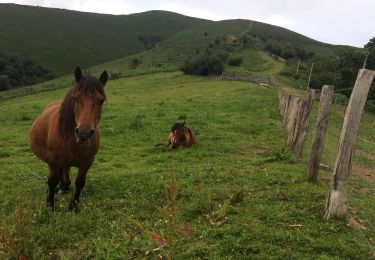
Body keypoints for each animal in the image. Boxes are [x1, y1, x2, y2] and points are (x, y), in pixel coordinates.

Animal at [28, 67, 108, 211]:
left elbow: (80, 182)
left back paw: (64, 186)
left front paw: (73, 206)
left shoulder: (88, 161)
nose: (83, 134)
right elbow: (51, 181)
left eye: (101, 100)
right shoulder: (53, 160)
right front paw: (50, 206)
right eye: (75, 98)